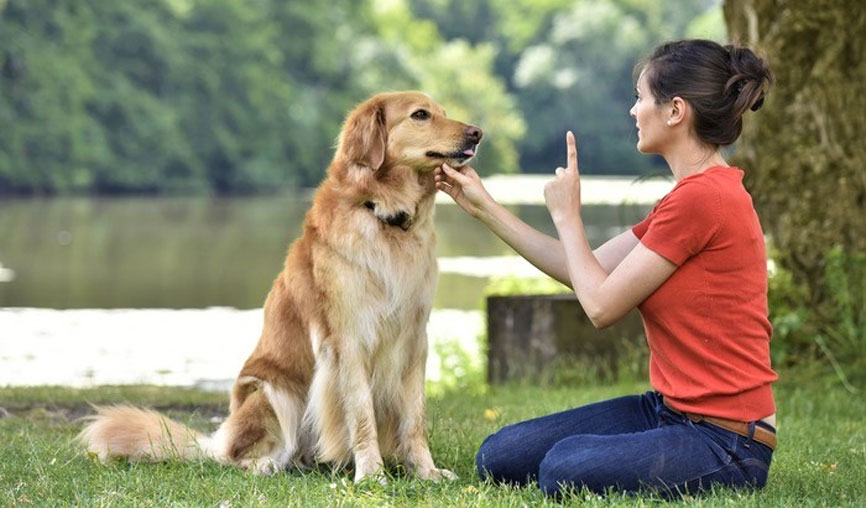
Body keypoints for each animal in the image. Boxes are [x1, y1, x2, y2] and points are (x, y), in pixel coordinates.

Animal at [79, 92, 480, 484]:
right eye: (420, 115)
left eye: (443, 112)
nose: (477, 133)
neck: (383, 216)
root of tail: (216, 441)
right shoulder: (349, 340)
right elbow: (361, 411)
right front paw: (370, 473)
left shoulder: (414, 339)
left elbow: (415, 418)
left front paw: (425, 471)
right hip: (272, 392)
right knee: (236, 457)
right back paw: (266, 465)